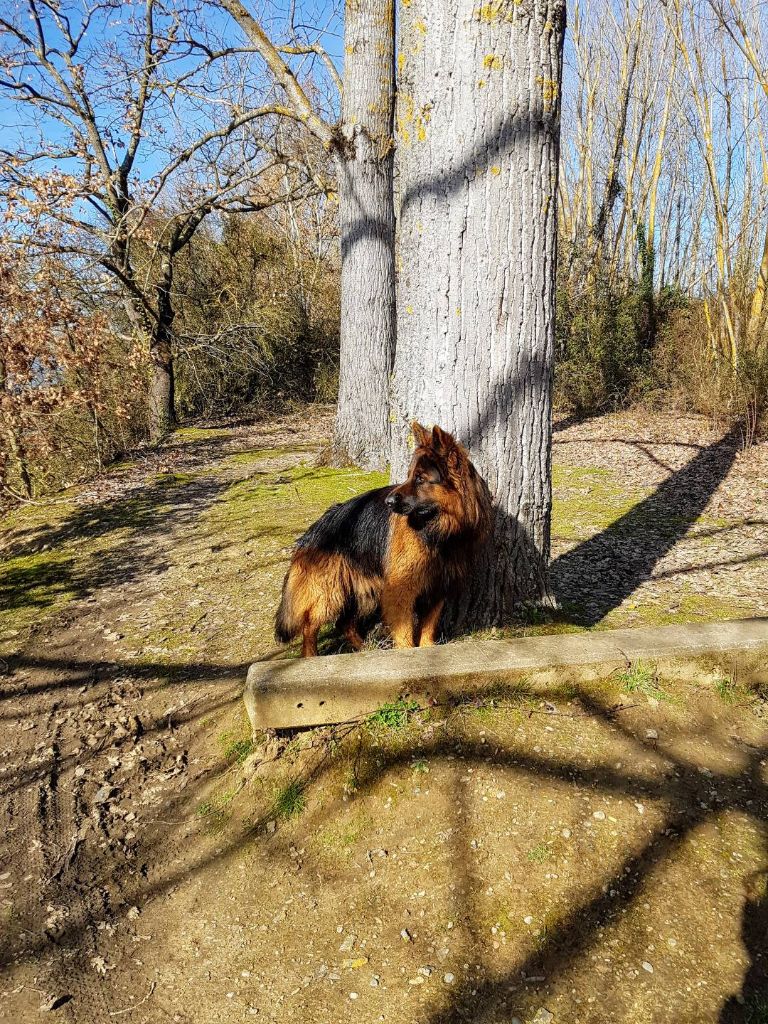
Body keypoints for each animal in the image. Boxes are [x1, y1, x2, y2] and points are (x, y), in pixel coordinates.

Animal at [276, 421, 493, 655]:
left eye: (420, 479)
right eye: (409, 475)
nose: (388, 502)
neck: (438, 532)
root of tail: (312, 531)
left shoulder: (437, 589)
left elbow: (428, 628)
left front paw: (427, 650)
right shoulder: (401, 590)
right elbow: (405, 632)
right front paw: (406, 653)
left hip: (361, 591)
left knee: (344, 623)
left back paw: (365, 648)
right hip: (330, 592)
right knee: (310, 624)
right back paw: (311, 656)